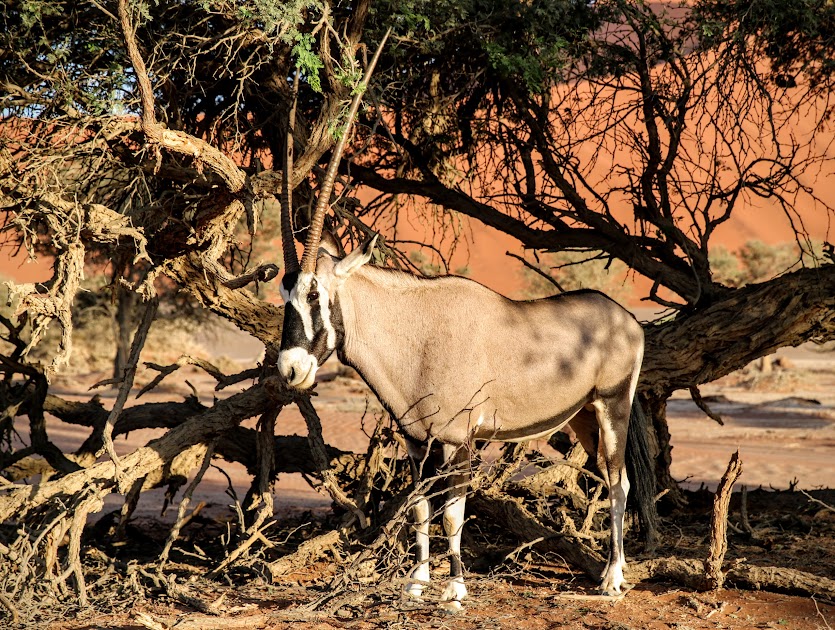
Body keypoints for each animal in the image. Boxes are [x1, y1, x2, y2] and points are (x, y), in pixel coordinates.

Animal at [278, 35, 656, 612]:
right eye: (283, 294)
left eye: (316, 294)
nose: (289, 368)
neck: (416, 332)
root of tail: (627, 318)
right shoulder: (417, 441)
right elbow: (419, 505)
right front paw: (416, 582)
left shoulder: (459, 439)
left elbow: (454, 510)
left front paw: (455, 587)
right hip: (583, 417)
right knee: (607, 475)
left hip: (613, 406)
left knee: (619, 482)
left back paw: (613, 577)